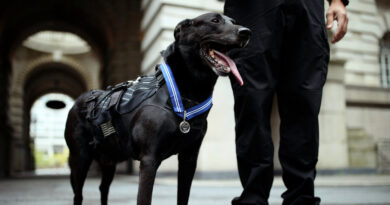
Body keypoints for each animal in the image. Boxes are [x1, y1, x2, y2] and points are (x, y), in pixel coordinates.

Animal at [65, 13, 251, 205]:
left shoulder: (189, 158)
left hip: (109, 160)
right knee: (78, 194)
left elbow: (183, 197)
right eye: (215, 20)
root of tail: (79, 100)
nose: (246, 32)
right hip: (80, 159)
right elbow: (144, 199)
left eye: (234, 22)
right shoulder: (149, 160)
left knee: (103, 188)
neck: (184, 97)